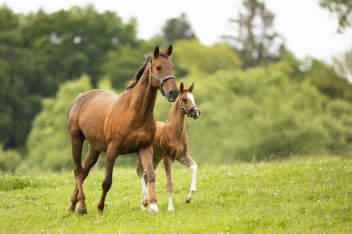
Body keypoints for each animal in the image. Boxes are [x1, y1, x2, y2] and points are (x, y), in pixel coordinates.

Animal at [65, 44, 179, 215]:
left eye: (172, 67)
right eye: (158, 67)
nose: (174, 92)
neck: (134, 112)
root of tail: (79, 98)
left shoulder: (145, 148)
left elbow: (151, 175)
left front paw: (153, 206)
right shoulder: (112, 150)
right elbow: (107, 182)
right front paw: (99, 210)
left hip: (94, 148)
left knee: (84, 170)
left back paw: (73, 205)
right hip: (76, 139)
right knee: (78, 171)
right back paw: (82, 207)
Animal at [136, 81, 201, 211]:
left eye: (194, 98)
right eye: (184, 99)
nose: (197, 113)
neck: (174, 133)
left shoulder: (182, 156)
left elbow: (194, 166)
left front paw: (188, 199)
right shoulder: (168, 158)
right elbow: (170, 183)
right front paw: (170, 208)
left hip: (155, 158)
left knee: (146, 174)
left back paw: (144, 204)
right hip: (144, 155)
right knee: (139, 171)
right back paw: (144, 202)